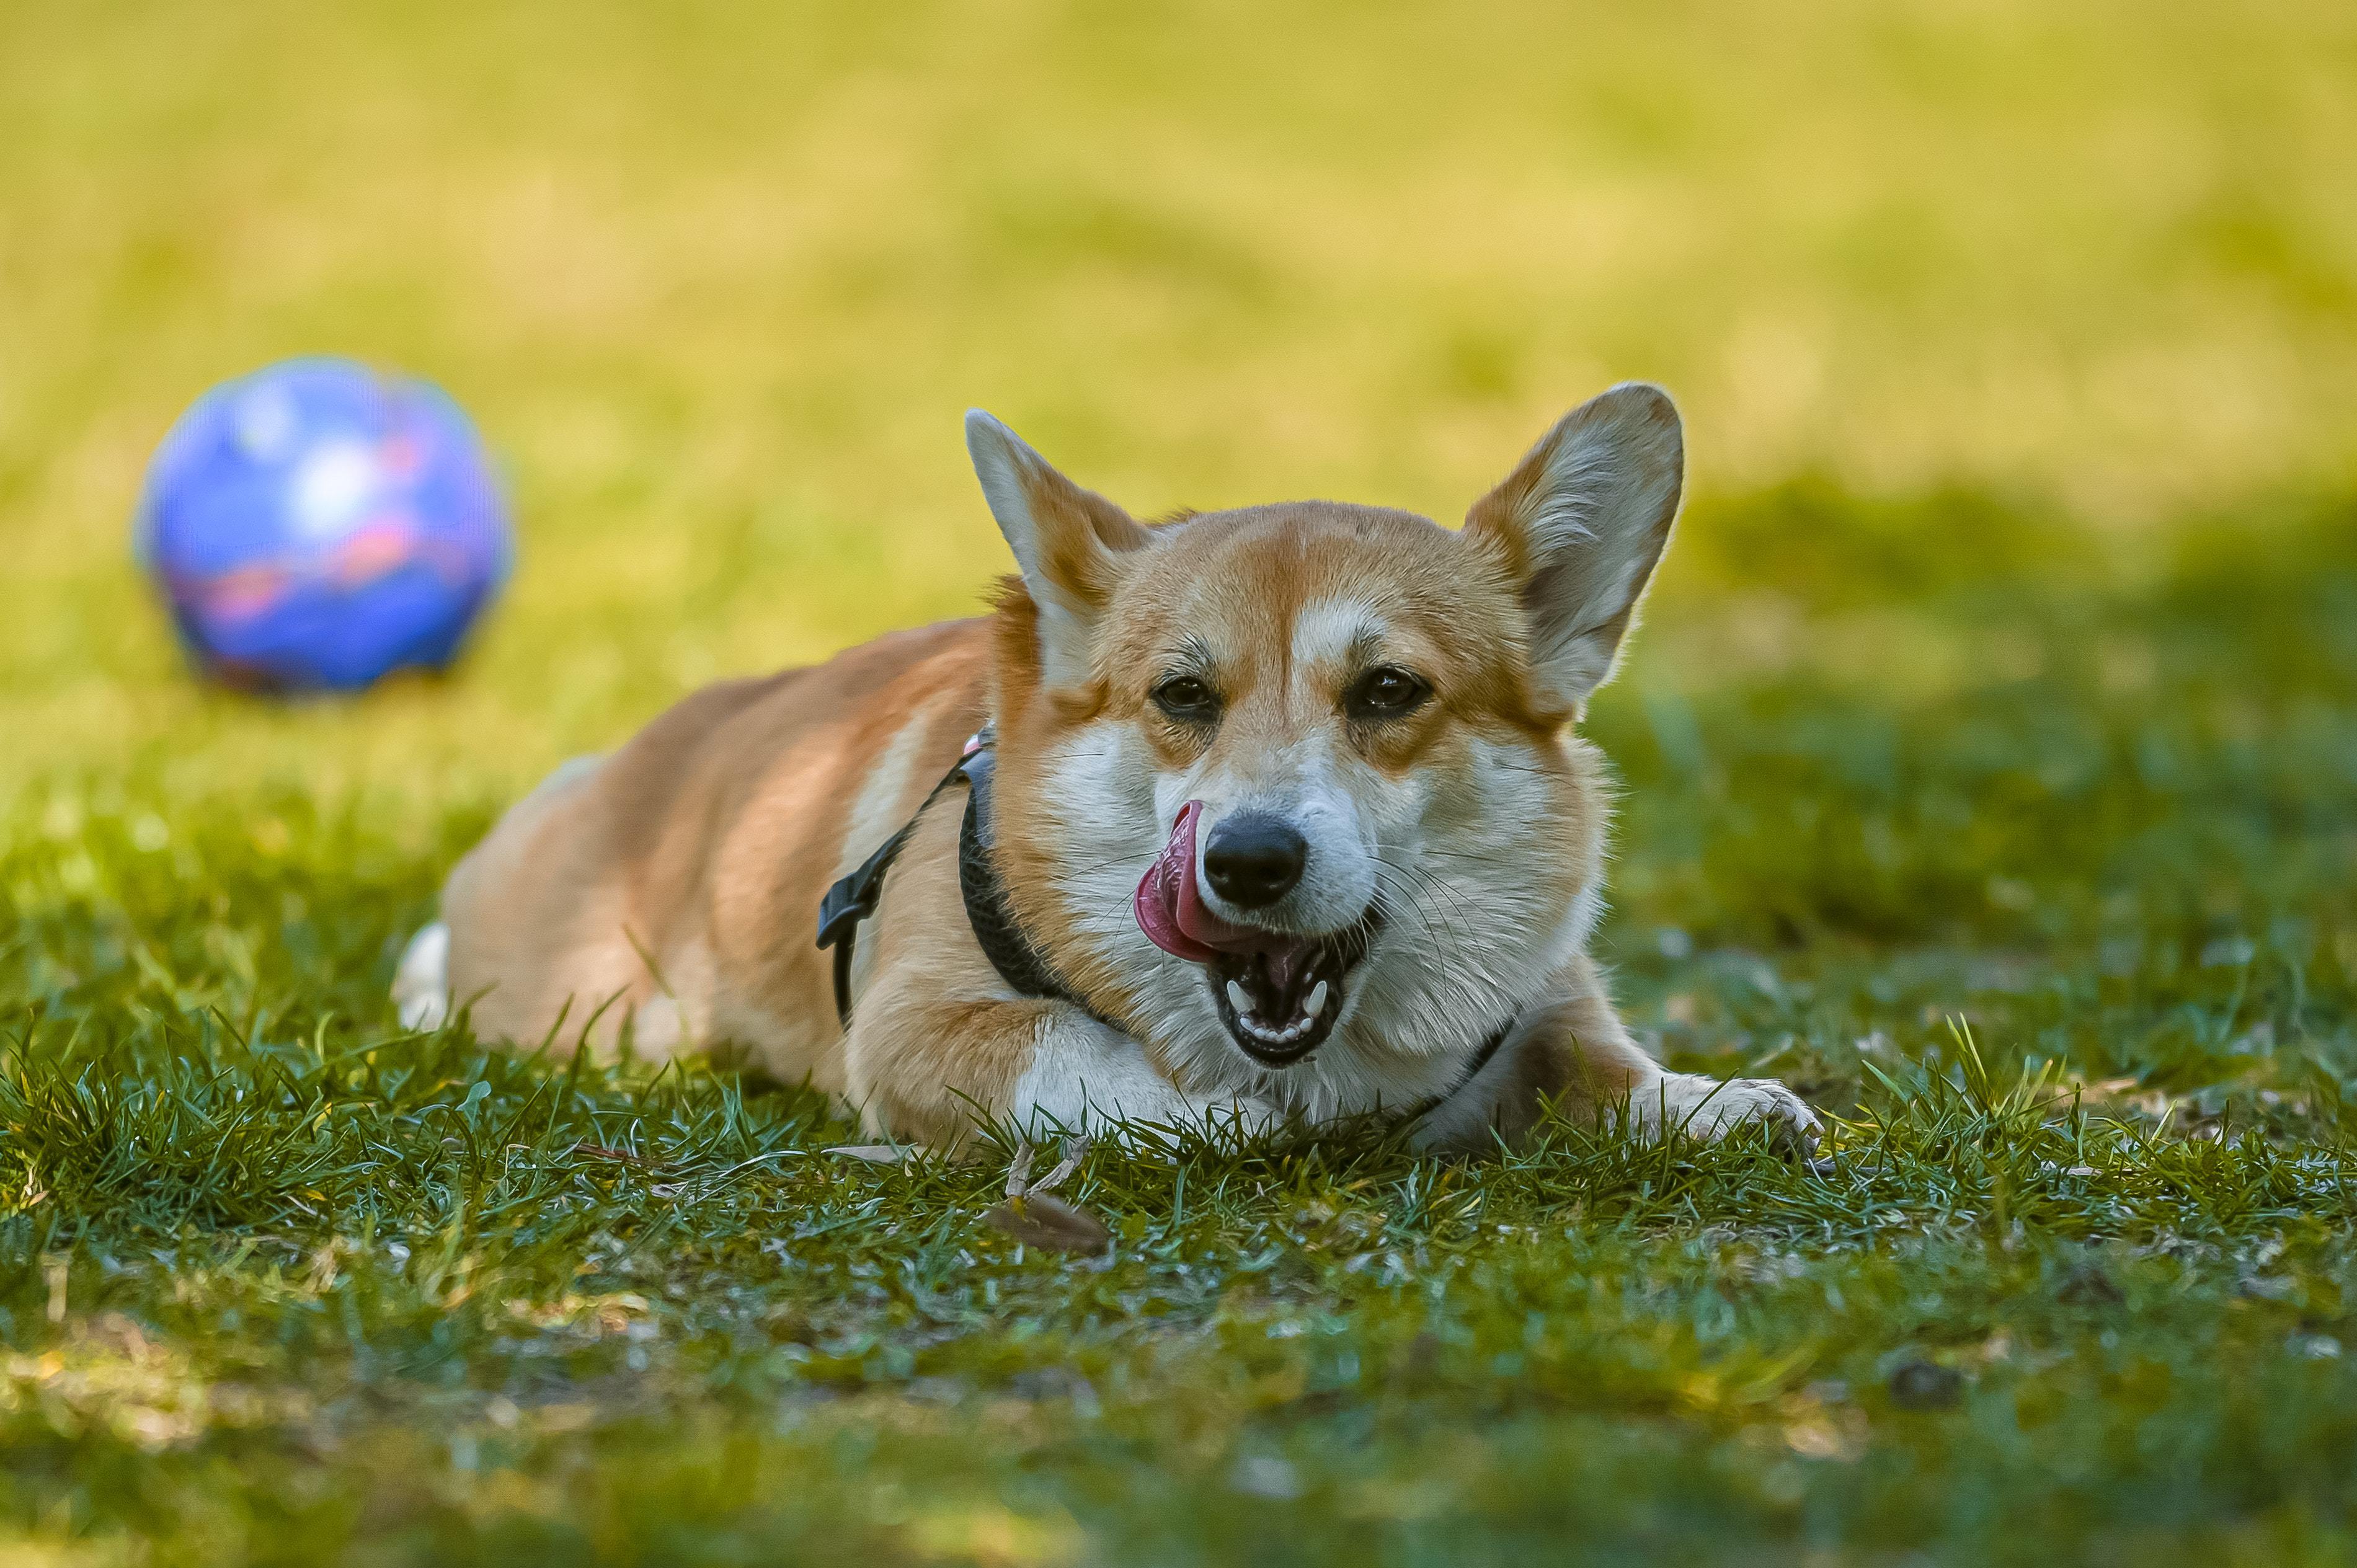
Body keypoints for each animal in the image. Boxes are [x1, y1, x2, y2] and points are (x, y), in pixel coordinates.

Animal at [396, 382, 1810, 1150]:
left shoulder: (1545, 997)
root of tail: (641, 749)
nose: (1248, 863)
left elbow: (1610, 1065)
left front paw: (1718, 1100)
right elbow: (1102, 1065)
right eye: (1182, 696)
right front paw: (1240, 1115)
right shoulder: (919, 1031)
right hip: (586, 1004)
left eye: (1389, 691)